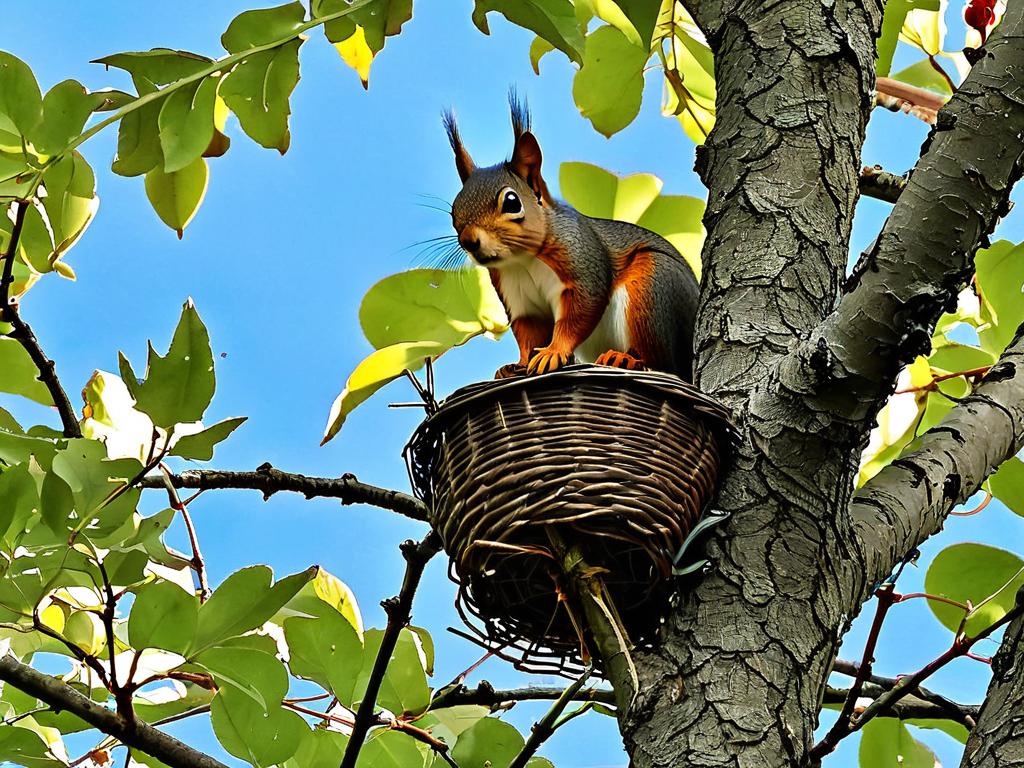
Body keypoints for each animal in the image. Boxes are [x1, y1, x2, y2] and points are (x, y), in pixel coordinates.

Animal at [444, 95, 700, 382]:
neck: (522, 259)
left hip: (653, 290)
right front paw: (518, 364)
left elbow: (579, 314)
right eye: (454, 211)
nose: (469, 241)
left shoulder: (582, 262)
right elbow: (529, 334)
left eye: (511, 202)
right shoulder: (519, 299)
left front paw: (553, 352)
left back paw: (626, 359)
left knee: (661, 360)